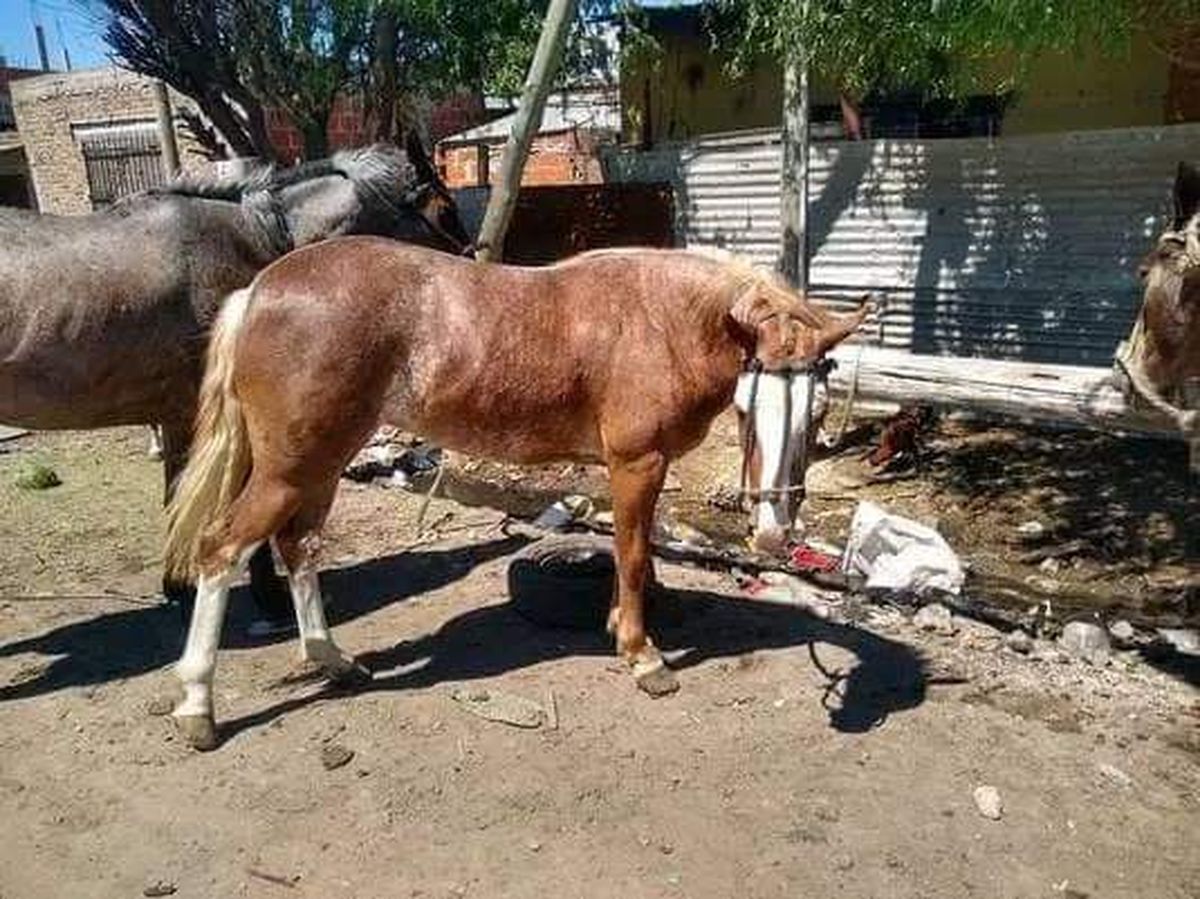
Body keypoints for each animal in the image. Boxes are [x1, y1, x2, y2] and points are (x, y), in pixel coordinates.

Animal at [0, 141, 473, 619]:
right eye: (445, 209)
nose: (474, 274)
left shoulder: (179, 416)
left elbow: (177, 497)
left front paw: (179, 586)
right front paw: (270, 599)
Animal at [161, 240, 871, 749]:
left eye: (818, 411)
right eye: (748, 408)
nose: (774, 532)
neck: (659, 318)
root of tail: (258, 290)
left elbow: (630, 553)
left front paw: (622, 623)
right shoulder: (636, 464)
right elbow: (633, 555)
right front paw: (642, 655)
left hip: (322, 464)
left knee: (298, 547)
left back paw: (332, 659)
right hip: (289, 470)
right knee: (221, 550)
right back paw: (198, 705)